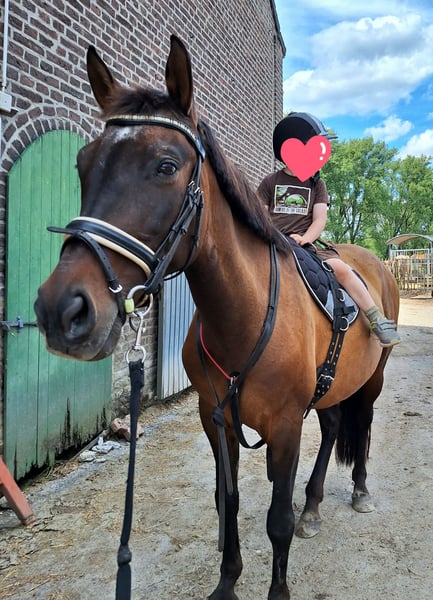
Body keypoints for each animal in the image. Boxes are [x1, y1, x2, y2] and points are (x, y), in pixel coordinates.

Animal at [34, 36, 400, 600]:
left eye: (166, 165)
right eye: (82, 162)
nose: (62, 309)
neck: (244, 316)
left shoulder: (285, 426)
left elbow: (276, 521)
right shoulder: (216, 419)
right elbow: (226, 503)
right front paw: (227, 582)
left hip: (373, 378)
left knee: (362, 424)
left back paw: (358, 490)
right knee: (335, 423)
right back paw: (314, 505)